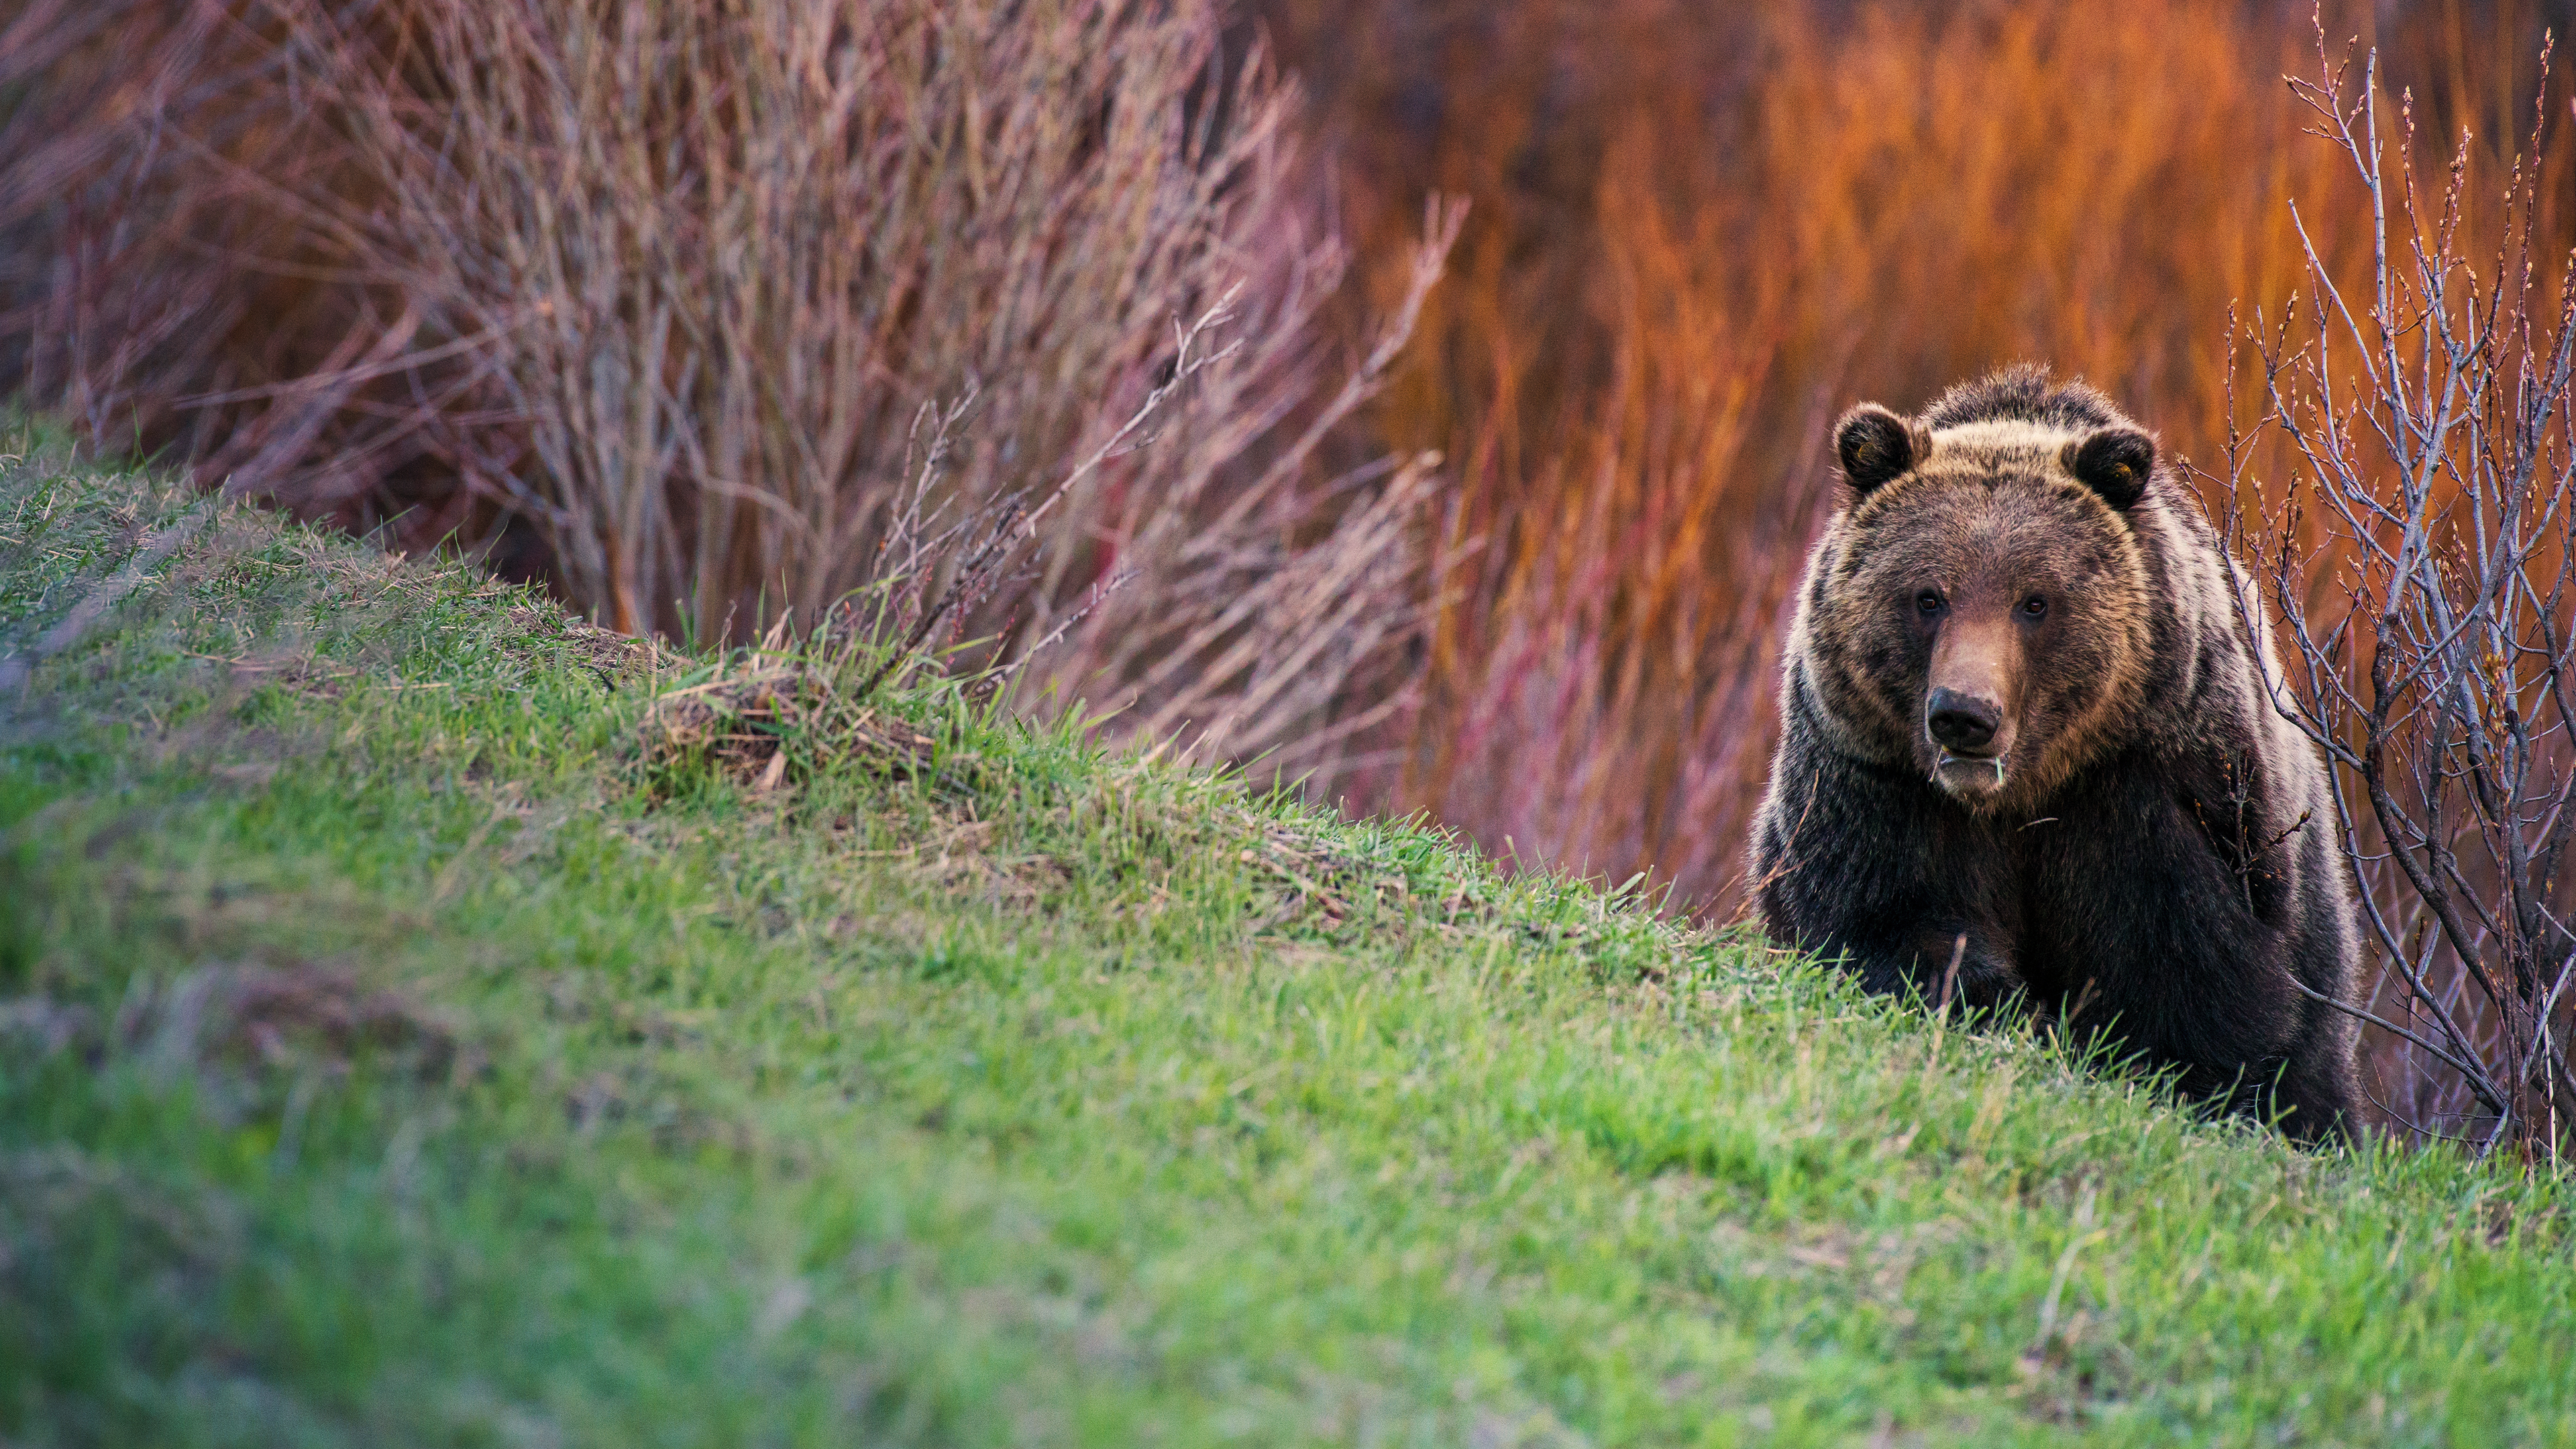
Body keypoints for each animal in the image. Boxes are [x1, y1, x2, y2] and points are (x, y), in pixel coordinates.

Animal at [1752, 361, 2359, 1139]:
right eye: (1928, 596)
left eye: (2034, 601)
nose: (1965, 715)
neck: (2021, 794)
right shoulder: (1874, 774)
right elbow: (1889, 920)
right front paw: (2007, 1006)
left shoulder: (2147, 787)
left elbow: (2191, 974)